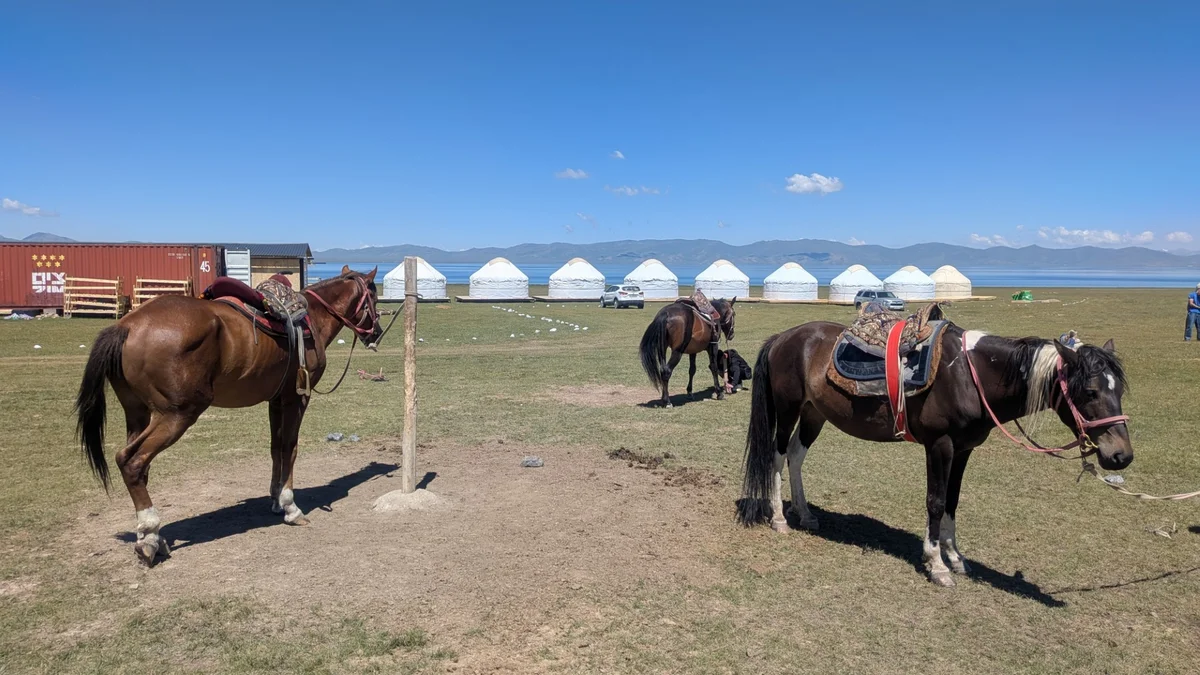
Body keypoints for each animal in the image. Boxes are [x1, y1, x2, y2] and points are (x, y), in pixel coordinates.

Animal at [74, 266, 382, 565]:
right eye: (373, 297)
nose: (376, 332)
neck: (312, 319)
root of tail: (125, 325)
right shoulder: (297, 398)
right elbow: (290, 448)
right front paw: (290, 506)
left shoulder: (276, 401)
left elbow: (276, 449)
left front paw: (274, 500)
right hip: (177, 414)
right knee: (132, 461)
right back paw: (149, 534)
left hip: (138, 413)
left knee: (140, 467)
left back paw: (150, 537)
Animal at [736, 319, 1132, 587]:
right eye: (1090, 391)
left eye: (1119, 390)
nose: (1122, 456)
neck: (971, 376)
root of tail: (783, 338)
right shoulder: (939, 445)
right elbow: (936, 502)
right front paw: (937, 564)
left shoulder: (964, 449)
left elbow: (953, 501)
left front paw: (955, 557)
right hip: (788, 409)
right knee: (777, 456)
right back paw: (779, 518)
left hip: (813, 413)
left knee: (796, 456)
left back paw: (804, 514)